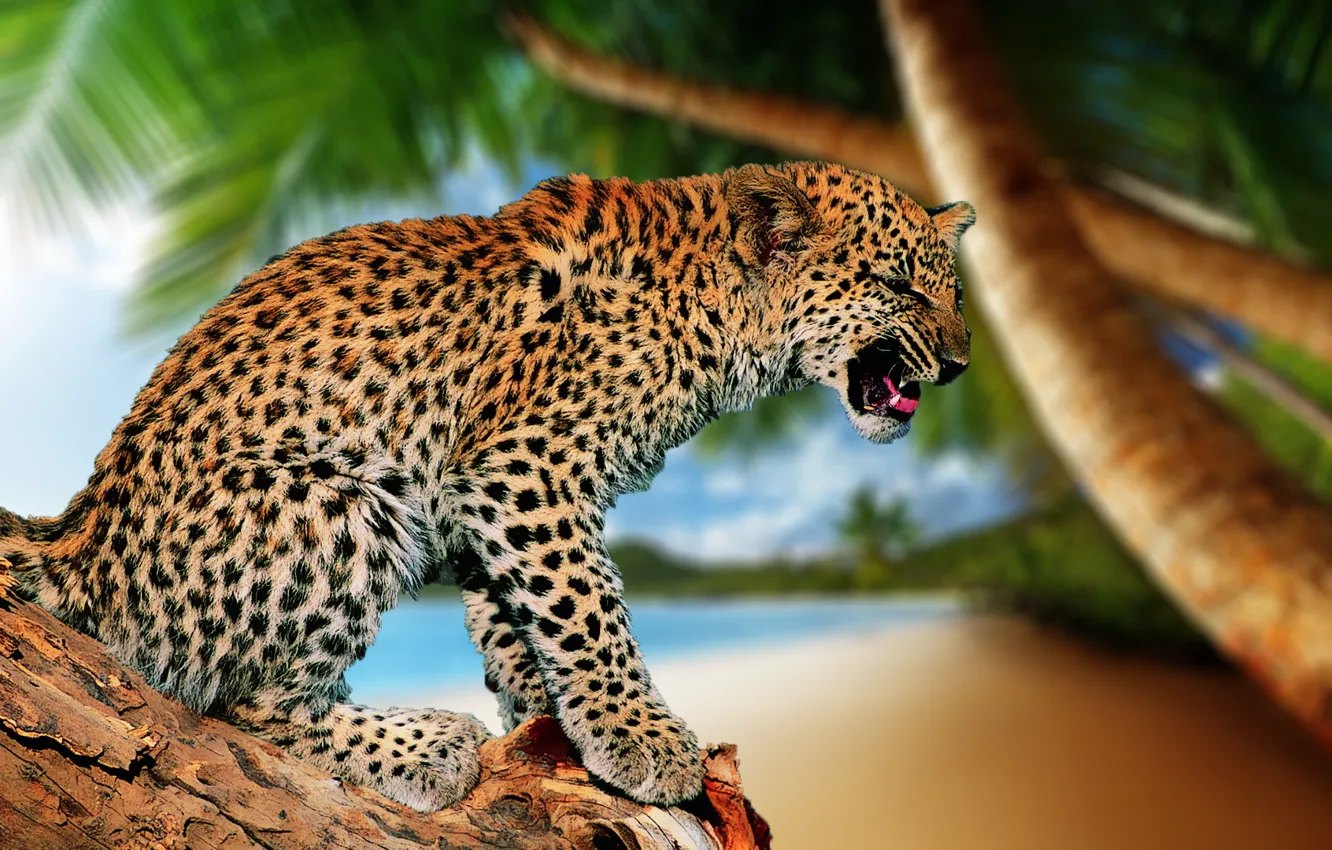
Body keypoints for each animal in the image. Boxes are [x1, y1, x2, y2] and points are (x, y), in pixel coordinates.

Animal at [0, 161, 974, 811]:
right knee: (246, 702)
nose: (964, 363)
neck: (721, 313)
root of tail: (76, 537)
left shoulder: (483, 494)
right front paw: (641, 736)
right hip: (344, 507)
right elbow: (588, 607)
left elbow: (519, 612)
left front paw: (546, 714)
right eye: (897, 286)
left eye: (957, 296)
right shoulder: (524, 464)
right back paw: (421, 744)